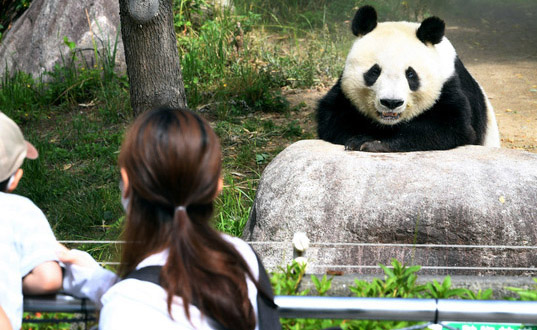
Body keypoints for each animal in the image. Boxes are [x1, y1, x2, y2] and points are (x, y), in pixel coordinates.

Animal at [316, 5, 500, 152]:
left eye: (411, 74)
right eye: (374, 72)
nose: (391, 103)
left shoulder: (448, 84)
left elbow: (451, 127)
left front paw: (373, 142)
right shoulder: (343, 93)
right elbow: (332, 118)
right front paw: (361, 138)